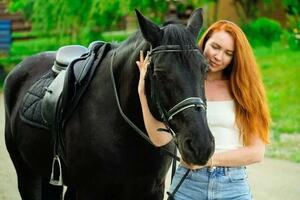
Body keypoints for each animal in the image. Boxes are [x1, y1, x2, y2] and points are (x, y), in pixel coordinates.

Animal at [2, 8, 213, 199]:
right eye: (159, 73)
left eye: (205, 69)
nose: (201, 145)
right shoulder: (90, 191)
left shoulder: (152, 189)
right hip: (27, 173)